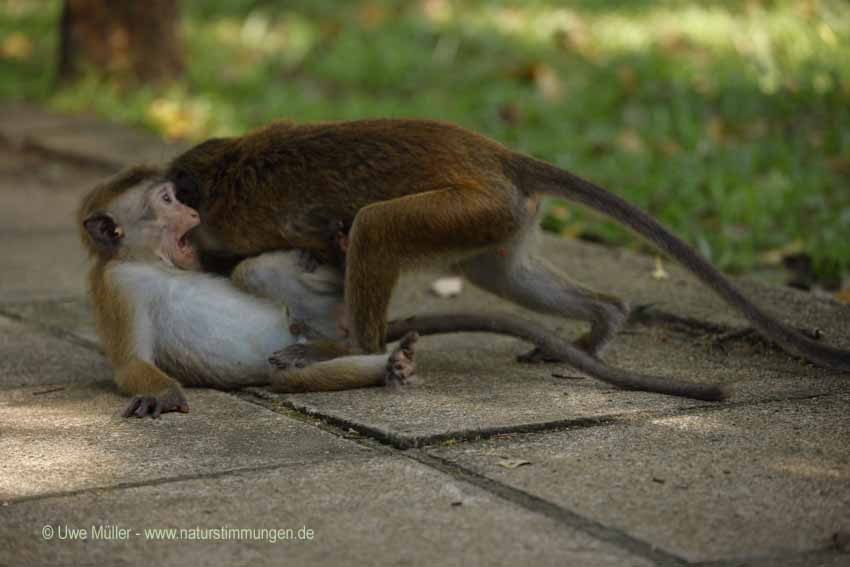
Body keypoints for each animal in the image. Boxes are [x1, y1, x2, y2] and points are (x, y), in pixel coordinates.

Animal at [78, 166, 728, 402]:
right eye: (167, 201)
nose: (190, 211)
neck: (155, 262)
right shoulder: (118, 288)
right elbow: (131, 362)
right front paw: (160, 391)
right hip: (281, 354)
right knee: (287, 371)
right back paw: (383, 364)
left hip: (318, 318)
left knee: (260, 278)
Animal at [156, 118, 844, 378]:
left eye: (178, 199)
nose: (182, 236)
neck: (230, 168)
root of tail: (500, 157)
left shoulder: (239, 222)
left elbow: (329, 245)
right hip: (496, 218)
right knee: (503, 277)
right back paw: (603, 321)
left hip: (471, 207)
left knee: (379, 225)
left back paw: (355, 346)